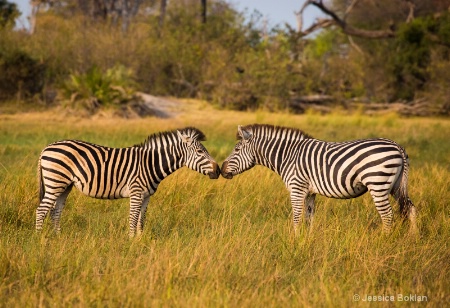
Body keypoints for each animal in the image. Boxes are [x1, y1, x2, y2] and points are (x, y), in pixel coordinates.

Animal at [36, 126, 220, 237]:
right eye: (200, 152)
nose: (218, 170)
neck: (150, 163)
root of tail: (46, 148)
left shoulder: (146, 196)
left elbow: (141, 219)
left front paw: (140, 239)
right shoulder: (136, 192)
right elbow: (133, 217)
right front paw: (131, 241)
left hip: (64, 185)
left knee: (55, 211)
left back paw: (58, 237)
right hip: (55, 182)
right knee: (41, 210)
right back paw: (40, 240)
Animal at [221, 124, 418, 235]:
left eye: (236, 149)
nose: (222, 170)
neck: (288, 156)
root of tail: (397, 146)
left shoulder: (297, 188)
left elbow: (296, 217)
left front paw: (294, 241)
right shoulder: (309, 192)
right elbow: (309, 218)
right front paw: (307, 241)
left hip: (378, 183)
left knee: (387, 215)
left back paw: (384, 240)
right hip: (395, 186)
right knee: (411, 209)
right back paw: (412, 239)